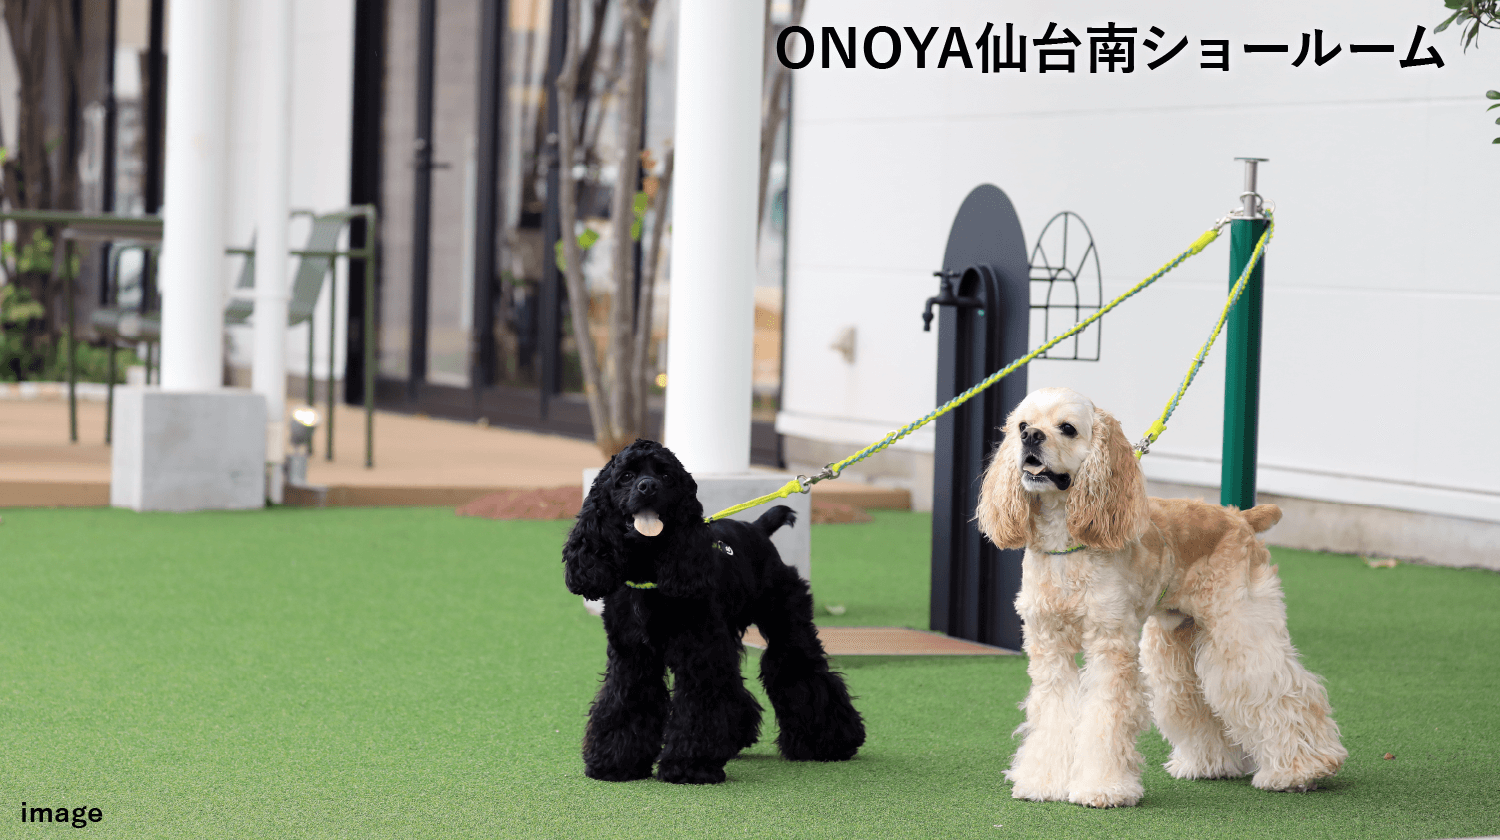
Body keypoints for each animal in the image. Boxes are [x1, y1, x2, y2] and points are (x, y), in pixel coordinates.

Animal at [562, 439, 866, 784]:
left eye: (666, 476)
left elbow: (698, 706)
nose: (648, 486)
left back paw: (830, 742)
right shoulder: (632, 655)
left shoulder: (698, 652)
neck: (649, 570)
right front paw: (615, 762)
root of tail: (758, 528)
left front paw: (689, 765)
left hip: (786, 622)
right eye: (626, 475)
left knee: (799, 668)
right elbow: (626, 701)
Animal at [976, 387, 1346, 808]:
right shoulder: (1048, 646)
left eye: (1067, 428)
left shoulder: (1110, 644)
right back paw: (1210, 765)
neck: (1065, 546)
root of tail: (1241, 518)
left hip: (1239, 632)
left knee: (1285, 691)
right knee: (1197, 701)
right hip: (1176, 644)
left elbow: (1105, 716)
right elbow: (1053, 715)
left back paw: (1301, 771)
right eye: (1022, 425)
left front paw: (1104, 788)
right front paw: (1042, 782)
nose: (1030, 437)